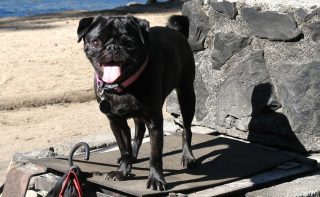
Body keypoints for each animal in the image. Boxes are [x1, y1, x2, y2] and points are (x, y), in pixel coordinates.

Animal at [77, 14, 196, 191]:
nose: (112, 47)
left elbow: (155, 154)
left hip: (187, 95)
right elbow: (123, 148)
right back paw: (133, 155)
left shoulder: (154, 121)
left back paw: (188, 157)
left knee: (186, 129)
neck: (122, 86)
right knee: (138, 132)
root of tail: (177, 32)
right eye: (96, 42)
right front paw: (123, 171)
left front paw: (156, 179)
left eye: (130, 44)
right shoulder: (116, 122)